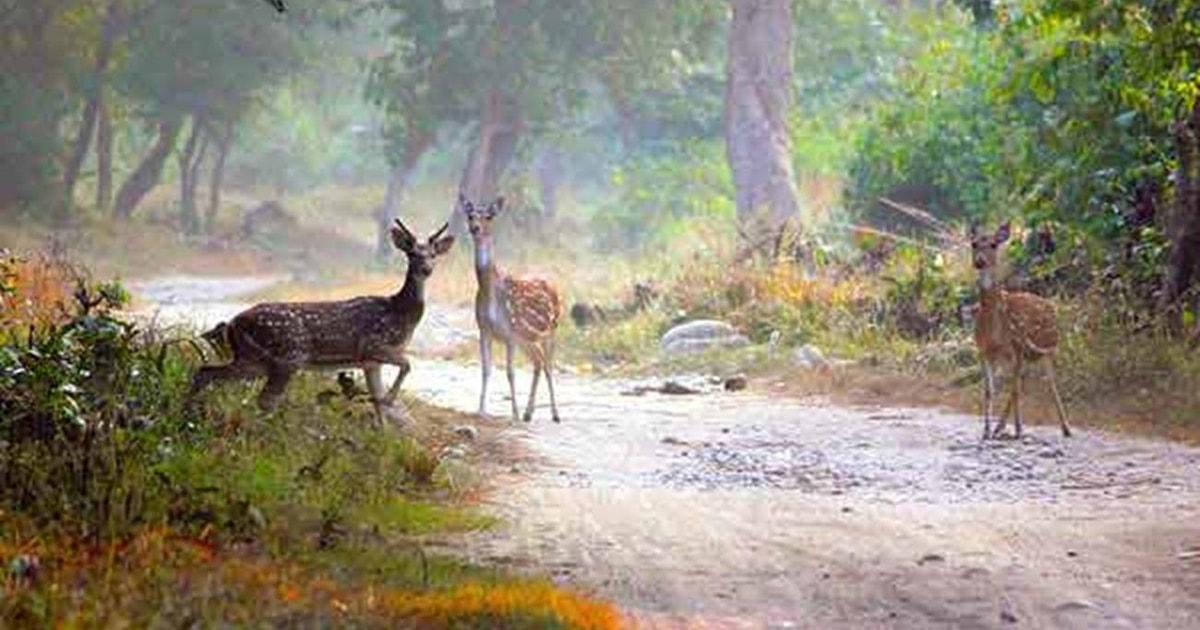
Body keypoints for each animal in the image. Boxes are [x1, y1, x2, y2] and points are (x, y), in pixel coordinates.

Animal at [186, 218, 454, 425]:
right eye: (412, 254)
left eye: (433, 254)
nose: (427, 269)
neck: (400, 313)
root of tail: (233, 323)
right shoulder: (373, 344)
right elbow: (407, 364)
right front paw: (389, 399)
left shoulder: (371, 363)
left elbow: (379, 402)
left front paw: (382, 431)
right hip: (288, 357)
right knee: (264, 400)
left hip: (253, 359)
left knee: (206, 372)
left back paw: (189, 416)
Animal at [460, 193, 564, 423]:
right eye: (470, 215)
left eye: (489, 216)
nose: (475, 227)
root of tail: (555, 288)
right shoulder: (484, 329)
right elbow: (486, 369)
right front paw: (481, 410)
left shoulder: (510, 332)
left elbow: (510, 372)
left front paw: (514, 413)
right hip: (528, 339)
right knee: (538, 362)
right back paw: (528, 413)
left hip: (551, 330)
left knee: (549, 365)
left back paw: (554, 413)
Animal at [970, 221, 1072, 440]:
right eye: (973, 244)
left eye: (993, 244)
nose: (979, 261)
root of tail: (1050, 305)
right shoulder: (984, 351)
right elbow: (989, 390)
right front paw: (986, 431)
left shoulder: (1016, 347)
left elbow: (1013, 390)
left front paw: (1018, 429)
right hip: (1026, 355)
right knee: (1021, 382)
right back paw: (999, 428)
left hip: (1048, 347)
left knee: (1049, 383)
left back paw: (1065, 428)